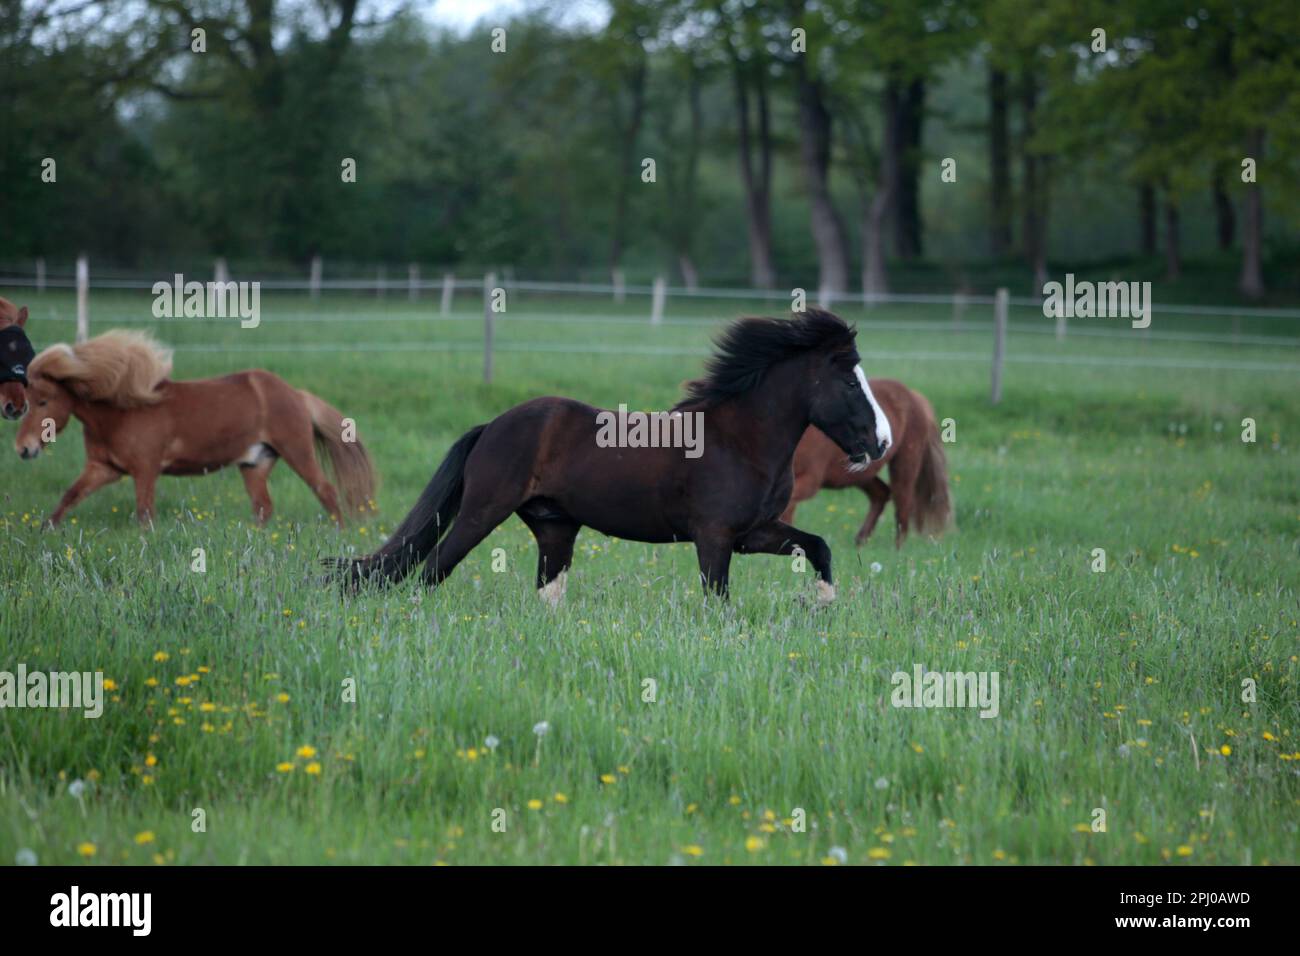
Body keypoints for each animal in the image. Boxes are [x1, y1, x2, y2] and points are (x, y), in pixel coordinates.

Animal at [15, 330, 377, 528]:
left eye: (44, 401)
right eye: (25, 400)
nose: (23, 448)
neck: (119, 411)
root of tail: (296, 394)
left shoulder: (145, 470)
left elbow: (144, 513)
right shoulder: (103, 468)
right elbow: (69, 497)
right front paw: (44, 531)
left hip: (296, 452)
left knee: (325, 491)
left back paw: (340, 534)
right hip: (254, 463)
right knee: (263, 507)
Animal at [332, 310, 894, 600]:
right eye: (849, 380)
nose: (882, 442)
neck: (742, 442)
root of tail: (492, 426)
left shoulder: (752, 533)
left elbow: (818, 548)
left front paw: (822, 606)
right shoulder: (714, 536)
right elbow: (718, 601)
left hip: (555, 528)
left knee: (545, 591)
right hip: (481, 513)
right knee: (431, 570)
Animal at [774, 379, 951, 548]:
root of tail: (914, 396)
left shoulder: (810, 480)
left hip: (904, 465)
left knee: (903, 510)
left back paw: (896, 552)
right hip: (860, 474)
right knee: (881, 493)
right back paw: (860, 542)